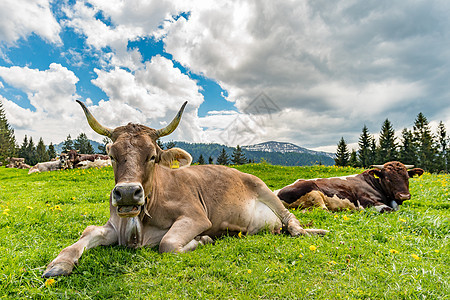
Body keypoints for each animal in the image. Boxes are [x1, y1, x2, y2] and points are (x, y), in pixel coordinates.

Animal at [42, 101, 326, 278]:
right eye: (112, 155)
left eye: (152, 156)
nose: (127, 192)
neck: (143, 221)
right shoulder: (114, 226)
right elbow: (86, 234)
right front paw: (59, 263)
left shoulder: (196, 217)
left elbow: (167, 244)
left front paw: (203, 239)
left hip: (264, 188)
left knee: (292, 222)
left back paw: (311, 231)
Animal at [276, 162, 424, 213]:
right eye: (388, 178)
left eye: (407, 177)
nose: (404, 195)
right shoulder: (365, 201)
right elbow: (388, 209)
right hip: (312, 190)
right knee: (324, 210)